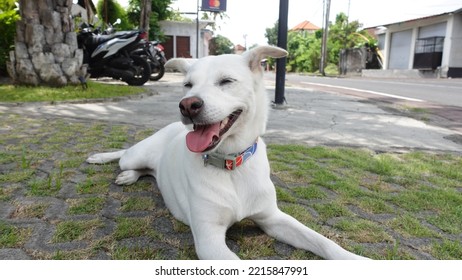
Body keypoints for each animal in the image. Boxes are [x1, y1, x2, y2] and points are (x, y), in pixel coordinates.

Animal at [87, 46, 368, 260]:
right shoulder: (209, 239)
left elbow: (322, 240)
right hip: (137, 154)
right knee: (126, 156)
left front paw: (357, 259)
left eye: (226, 82)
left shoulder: (273, 218)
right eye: (187, 84)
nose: (187, 105)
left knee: (147, 170)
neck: (231, 163)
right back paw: (111, 164)